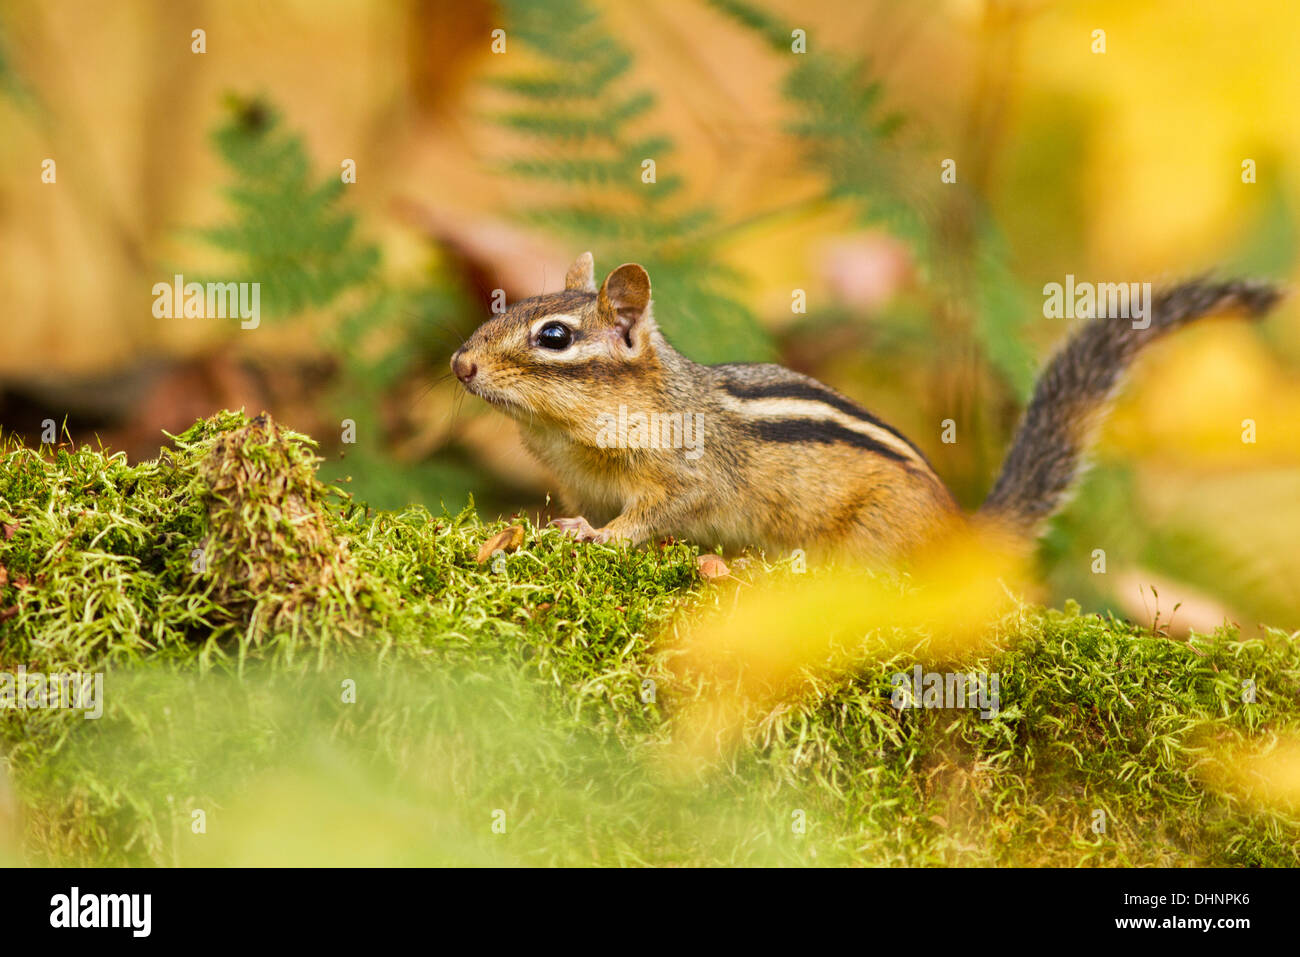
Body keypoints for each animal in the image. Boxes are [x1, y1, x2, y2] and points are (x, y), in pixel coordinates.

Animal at [451, 252, 1281, 562]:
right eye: (512, 305)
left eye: (554, 336)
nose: (460, 364)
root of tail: (956, 533)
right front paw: (542, 522)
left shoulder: (687, 471)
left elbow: (658, 513)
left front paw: (599, 536)